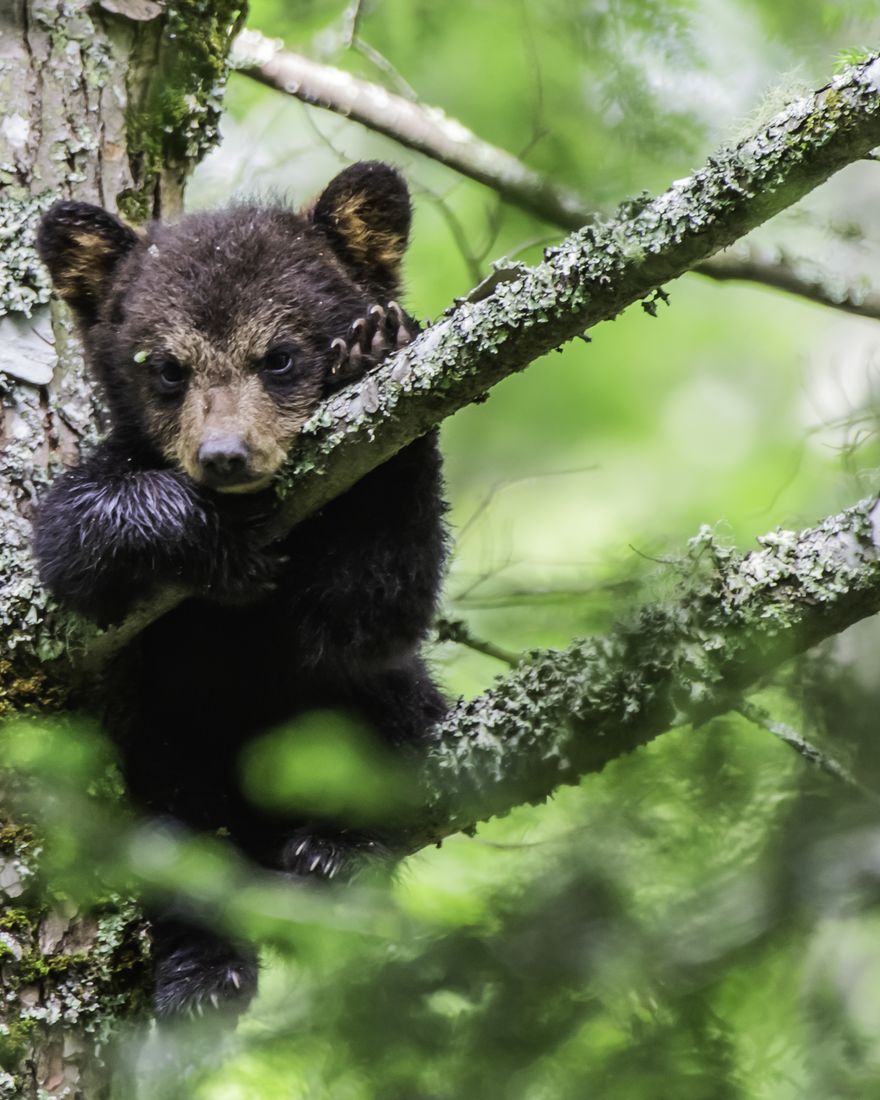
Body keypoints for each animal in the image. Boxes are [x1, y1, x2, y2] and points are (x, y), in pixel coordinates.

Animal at [33, 162, 448, 1020]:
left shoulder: (351, 606)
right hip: (157, 756)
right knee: (172, 839)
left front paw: (374, 352)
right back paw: (204, 972)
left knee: (391, 708)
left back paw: (335, 850)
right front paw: (206, 540)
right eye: (167, 368)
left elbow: (369, 614)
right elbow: (69, 542)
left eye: (280, 356)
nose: (225, 455)